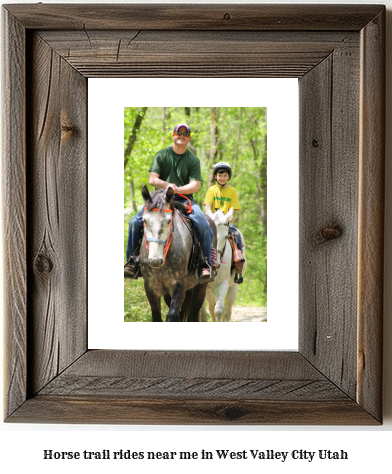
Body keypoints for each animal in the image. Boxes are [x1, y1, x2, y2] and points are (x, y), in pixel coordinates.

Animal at [139, 186, 217, 322]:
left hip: (200, 286)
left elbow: (173, 315)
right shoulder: (150, 287)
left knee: (193, 315)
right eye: (145, 220)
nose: (155, 260)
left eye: (168, 221)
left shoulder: (180, 284)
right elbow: (157, 316)